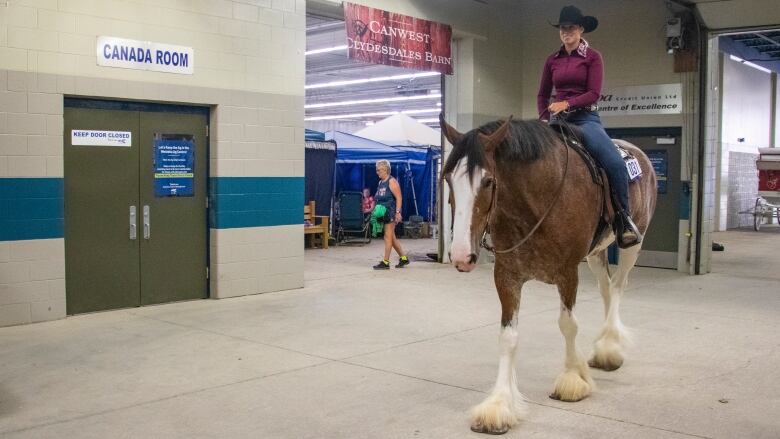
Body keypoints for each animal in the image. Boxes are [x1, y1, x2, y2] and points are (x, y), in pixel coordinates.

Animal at [442, 115, 656, 434]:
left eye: (488, 181)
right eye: (447, 179)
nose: (460, 256)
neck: (536, 201)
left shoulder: (567, 272)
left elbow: (568, 325)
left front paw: (572, 380)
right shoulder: (507, 275)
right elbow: (508, 337)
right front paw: (499, 405)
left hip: (633, 243)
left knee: (618, 287)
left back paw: (610, 347)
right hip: (596, 254)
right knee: (606, 288)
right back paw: (603, 349)